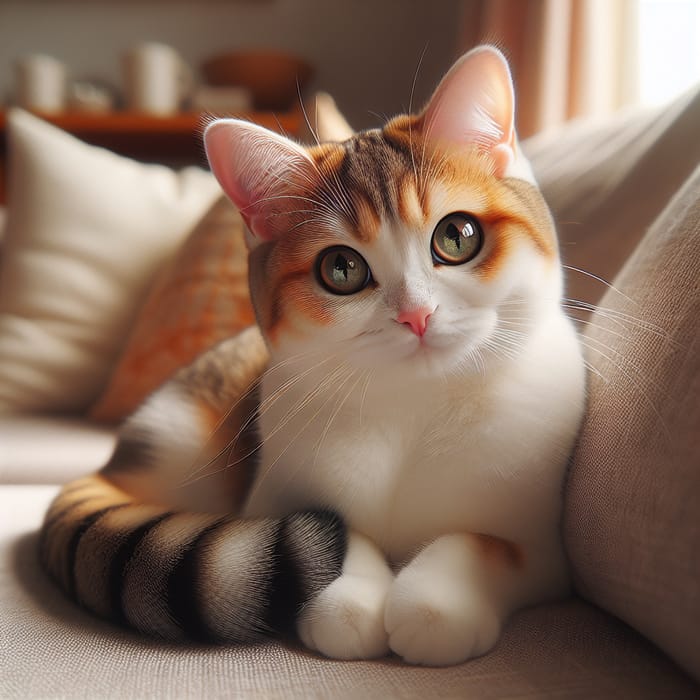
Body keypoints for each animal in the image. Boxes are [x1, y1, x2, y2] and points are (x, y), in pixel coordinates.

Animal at [38, 46, 584, 664]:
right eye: (341, 269)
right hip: (180, 438)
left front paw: (436, 604)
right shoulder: (270, 497)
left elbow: (486, 544)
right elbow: (340, 534)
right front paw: (350, 601)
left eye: (457, 236)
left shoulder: (548, 553)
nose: (416, 315)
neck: (413, 404)